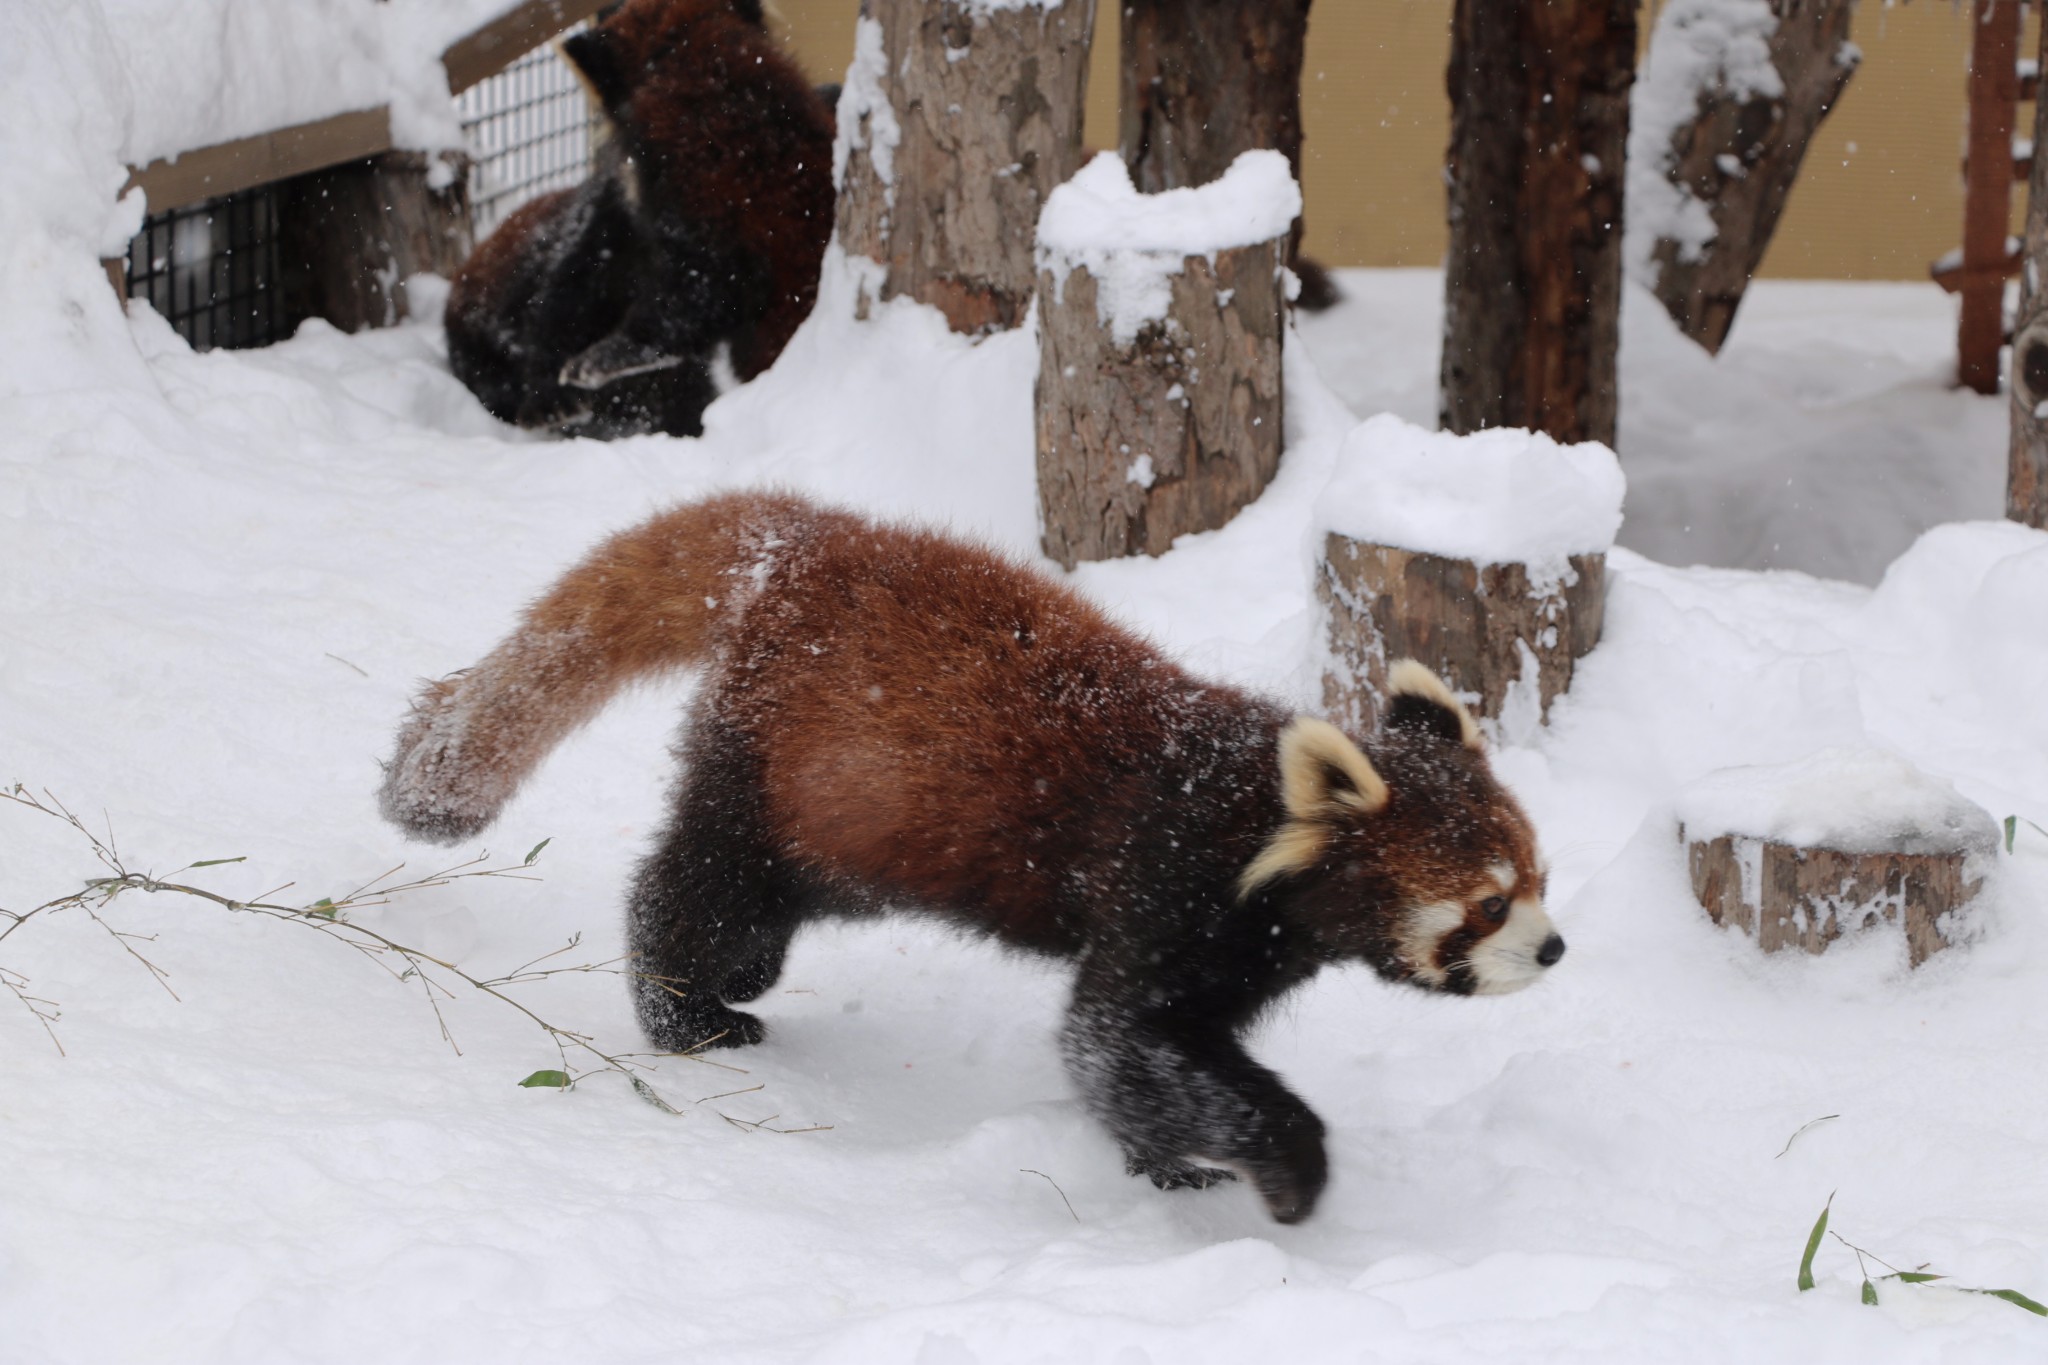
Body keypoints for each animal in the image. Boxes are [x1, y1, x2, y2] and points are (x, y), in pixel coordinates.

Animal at [380, 493, 1564, 1227]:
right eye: (1486, 903)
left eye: (1539, 879)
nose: (1554, 950)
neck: (1246, 820)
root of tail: (802, 543)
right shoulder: (1162, 887)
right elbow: (1115, 1041)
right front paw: (1277, 1169)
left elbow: (1138, 1066)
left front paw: (1168, 1161)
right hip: (784, 767)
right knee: (700, 880)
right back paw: (688, 1011)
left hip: (845, 811)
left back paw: (733, 981)